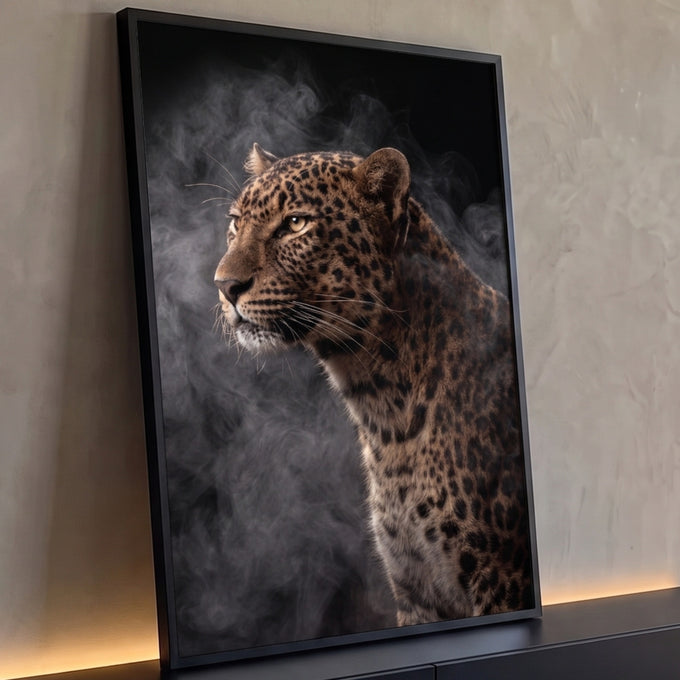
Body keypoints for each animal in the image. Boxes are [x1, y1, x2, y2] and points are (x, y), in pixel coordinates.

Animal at [214, 143, 534, 626]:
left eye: (295, 223)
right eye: (236, 222)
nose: (225, 286)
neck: (384, 410)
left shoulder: (502, 578)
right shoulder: (417, 590)